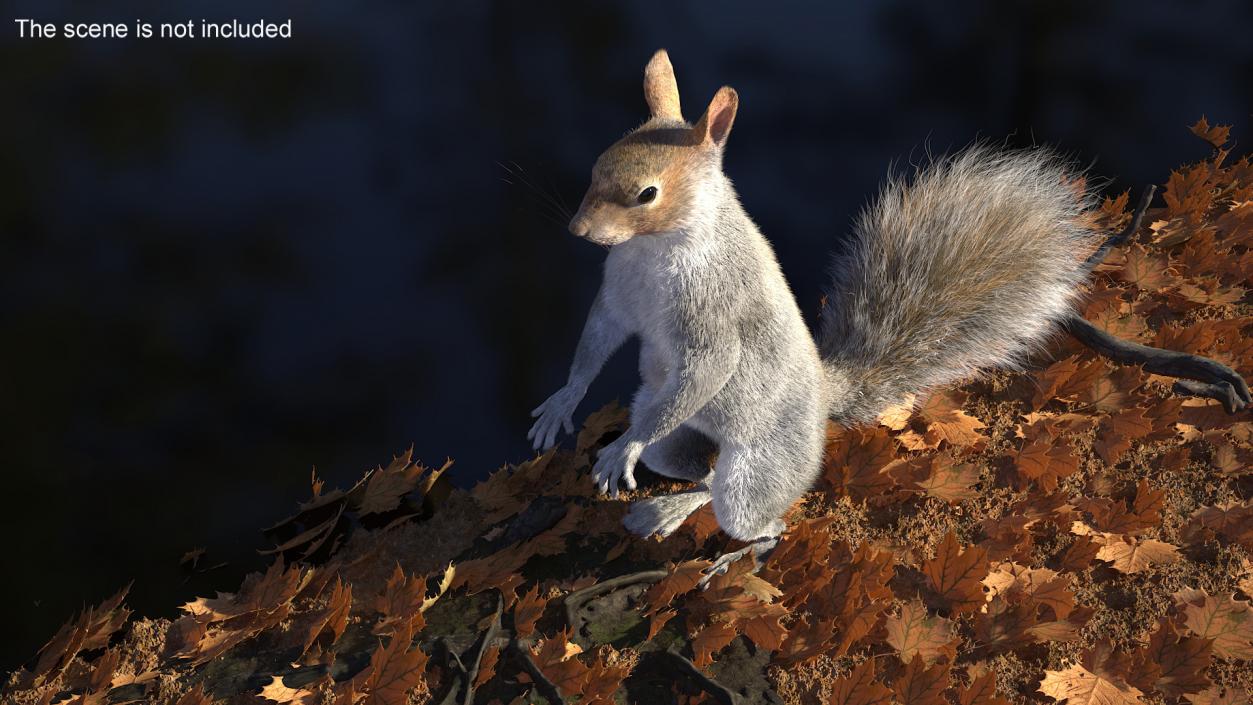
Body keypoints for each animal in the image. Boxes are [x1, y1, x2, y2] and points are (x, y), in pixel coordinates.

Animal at [526, 49, 1242, 573]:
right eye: (599, 163)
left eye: (648, 193)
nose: (580, 231)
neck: (657, 250)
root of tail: (824, 403)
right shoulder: (619, 293)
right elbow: (598, 339)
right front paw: (562, 405)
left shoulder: (716, 313)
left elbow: (707, 367)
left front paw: (619, 448)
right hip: (683, 443)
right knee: (691, 469)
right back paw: (666, 504)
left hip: (760, 466)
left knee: (758, 514)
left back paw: (721, 539)